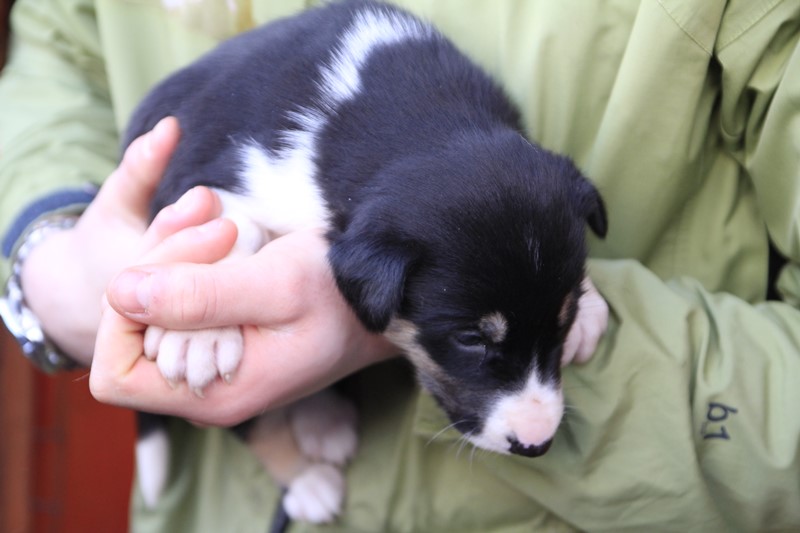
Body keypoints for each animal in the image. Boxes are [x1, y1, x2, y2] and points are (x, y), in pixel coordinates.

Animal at [128, 0, 608, 524]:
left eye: (561, 322)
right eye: (470, 339)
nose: (536, 444)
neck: (420, 119)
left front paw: (591, 308)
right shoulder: (198, 172)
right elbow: (228, 222)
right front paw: (199, 342)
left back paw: (324, 423)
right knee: (247, 420)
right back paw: (307, 480)